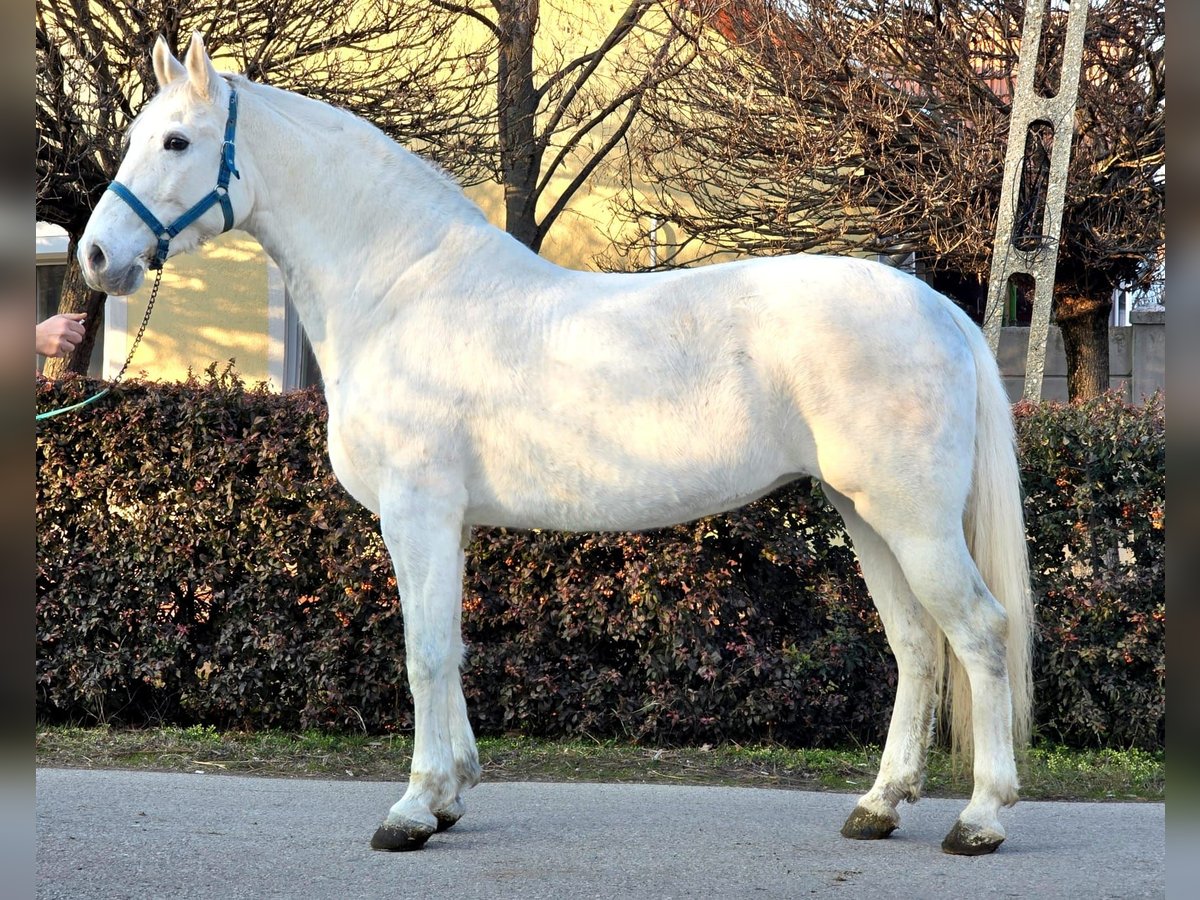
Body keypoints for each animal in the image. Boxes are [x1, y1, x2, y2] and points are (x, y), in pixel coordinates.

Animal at [77, 31, 1032, 854]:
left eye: (175, 141)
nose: (94, 257)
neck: (402, 289)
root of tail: (938, 308)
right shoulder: (446, 523)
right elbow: (452, 650)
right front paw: (452, 793)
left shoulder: (418, 512)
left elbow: (424, 654)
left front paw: (412, 810)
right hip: (863, 516)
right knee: (917, 646)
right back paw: (880, 805)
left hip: (912, 521)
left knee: (981, 632)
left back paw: (981, 819)